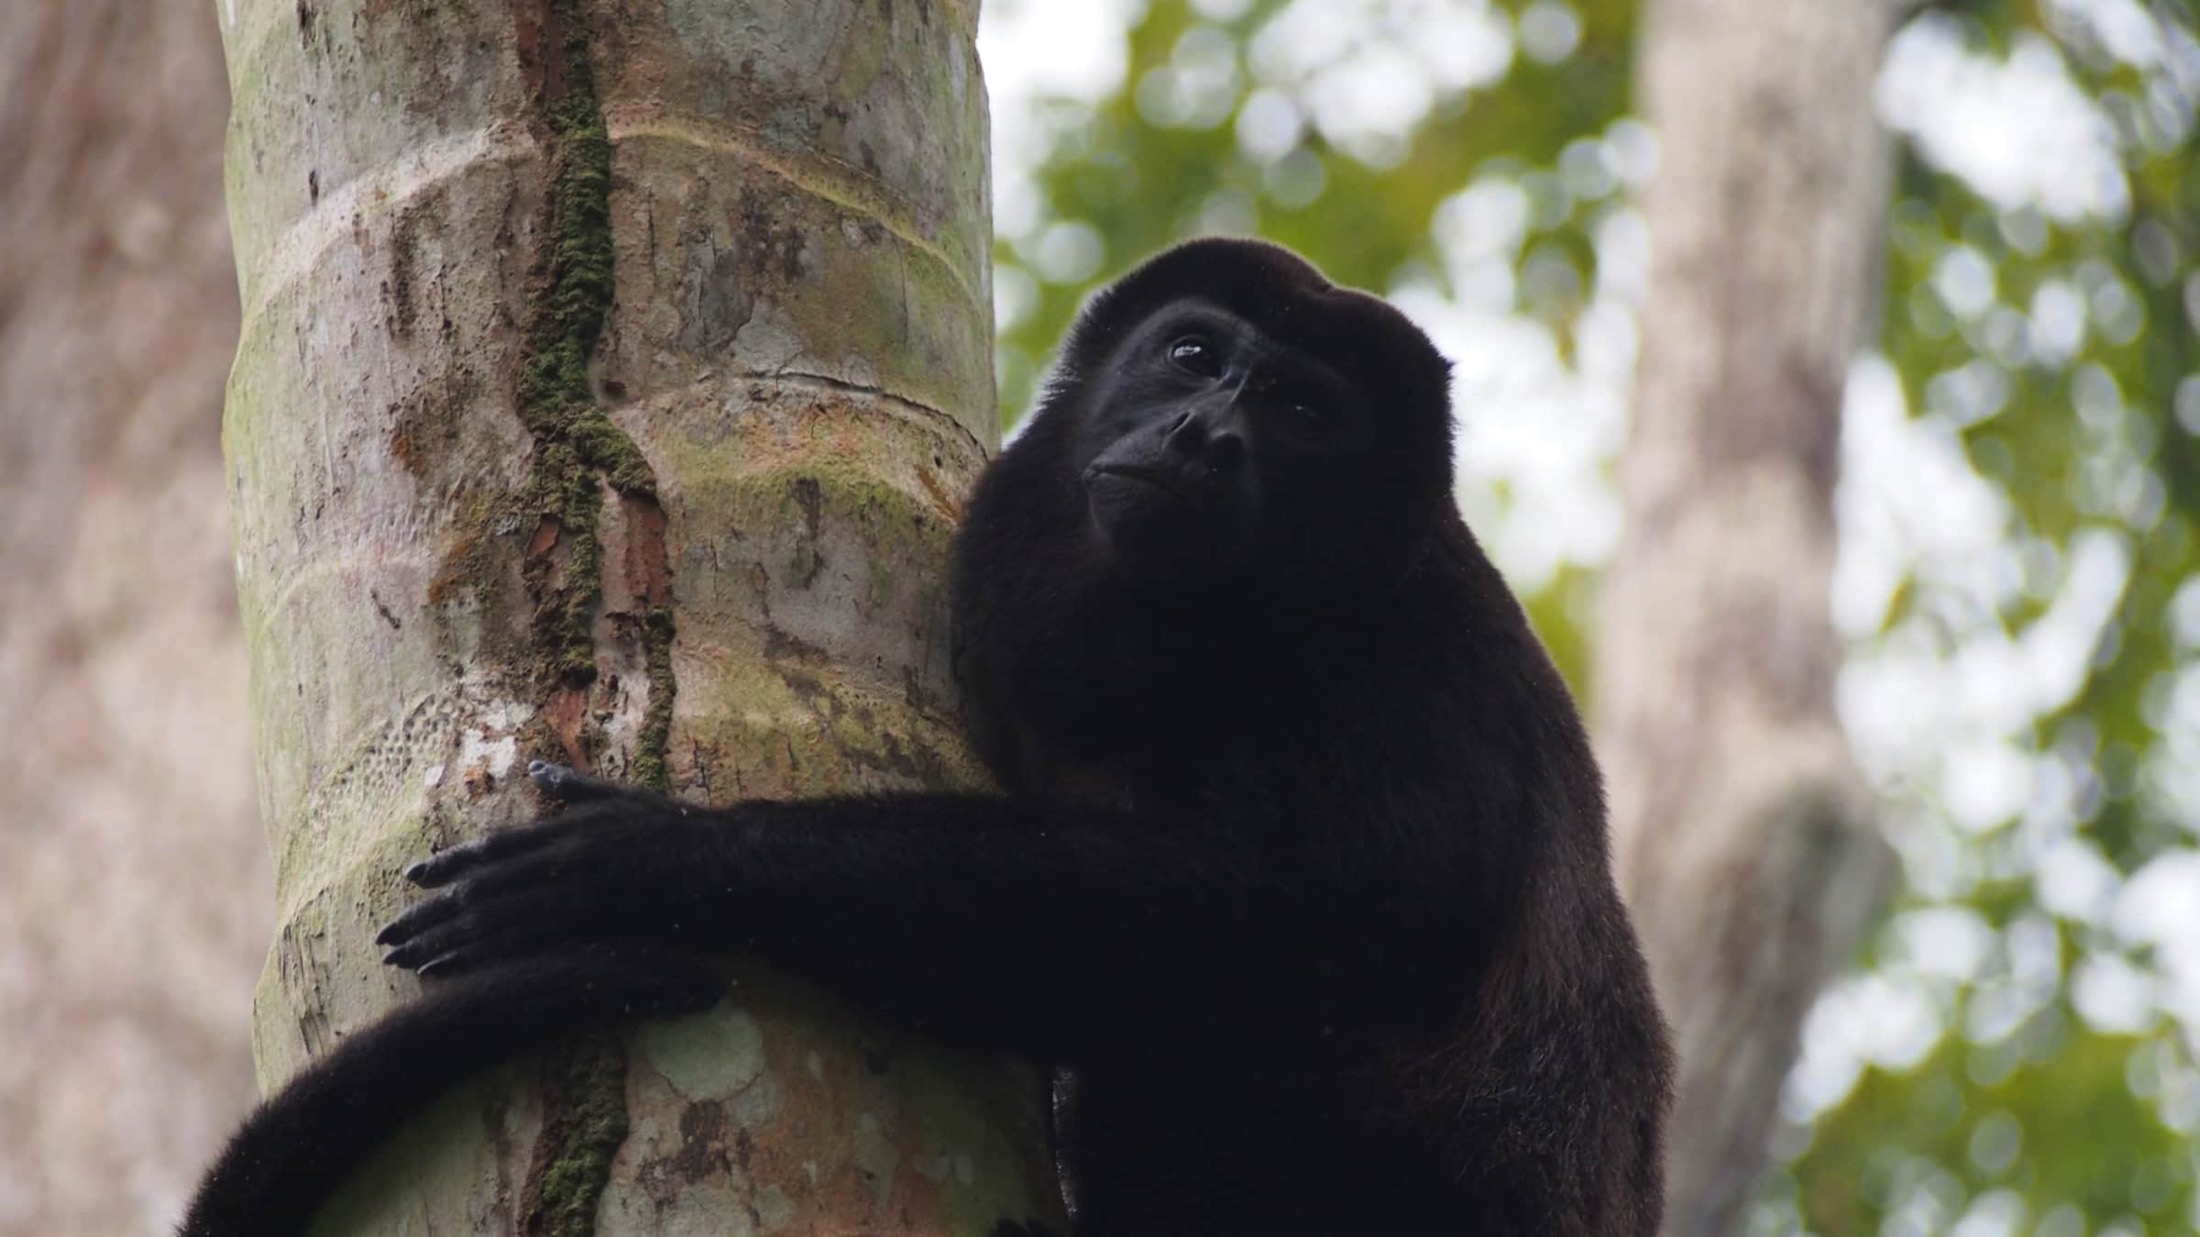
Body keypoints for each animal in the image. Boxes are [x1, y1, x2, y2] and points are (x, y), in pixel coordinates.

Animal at [183, 237, 1672, 1236]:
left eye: (1305, 414)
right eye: (1194, 357)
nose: (1207, 434)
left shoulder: (1413, 710)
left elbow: (1271, 938)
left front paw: (669, 862)